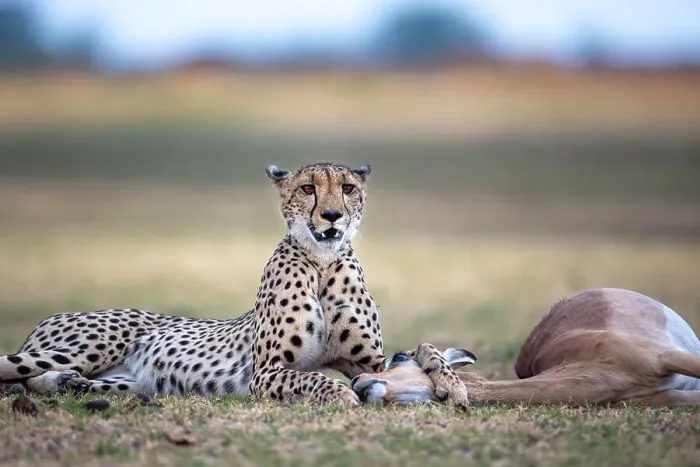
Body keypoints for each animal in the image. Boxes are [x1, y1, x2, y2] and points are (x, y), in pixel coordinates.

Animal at [0, 162, 469, 407]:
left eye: (348, 188)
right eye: (307, 188)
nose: (333, 216)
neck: (320, 263)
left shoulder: (368, 362)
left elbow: (423, 348)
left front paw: (453, 384)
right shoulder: (267, 372)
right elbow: (315, 380)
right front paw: (342, 394)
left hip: (125, 379)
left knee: (43, 380)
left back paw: (67, 385)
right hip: (83, 348)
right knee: (15, 369)